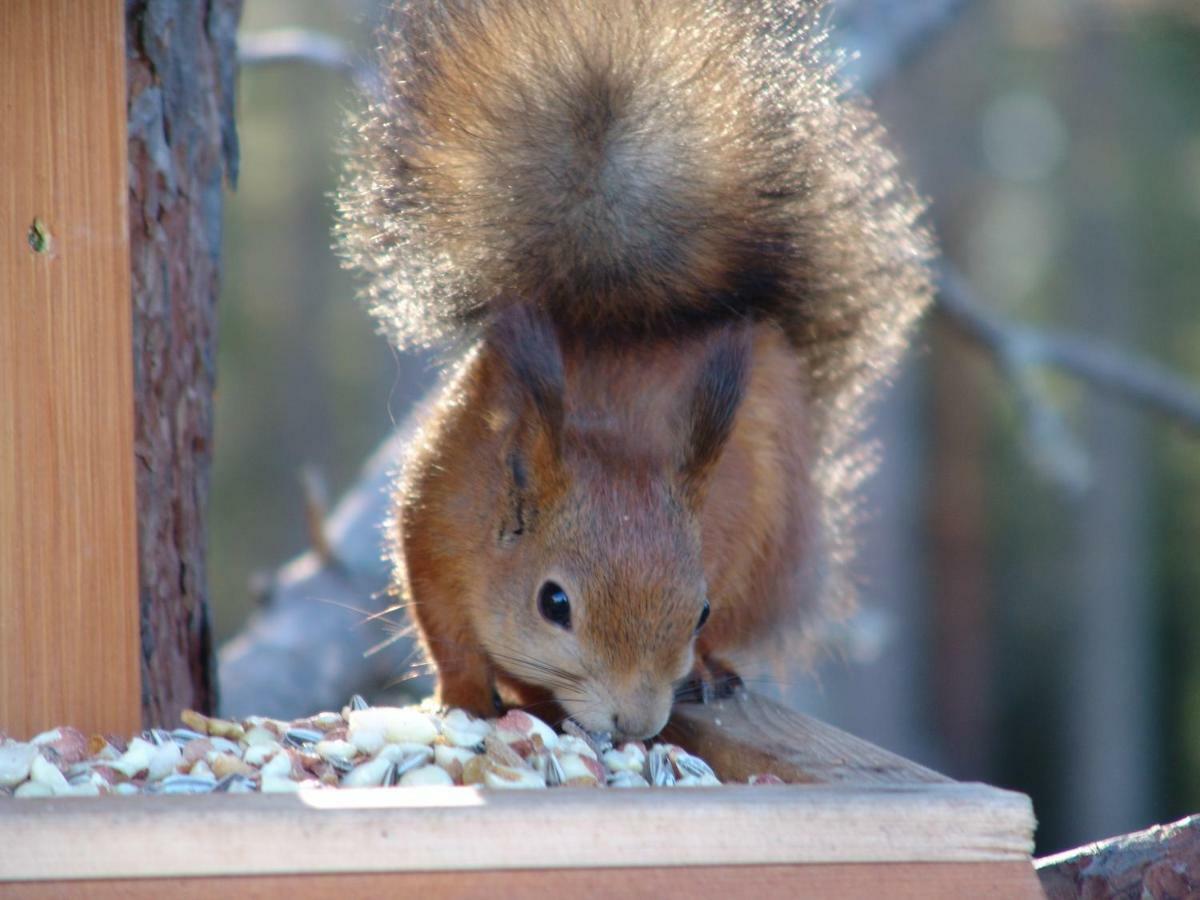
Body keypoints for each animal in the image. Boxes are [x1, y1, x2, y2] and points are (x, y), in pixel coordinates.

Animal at [340, 0, 936, 739]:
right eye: (554, 603)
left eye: (699, 609)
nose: (636, 723)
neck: (612, 439)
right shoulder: (434, 526)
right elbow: (446, 635)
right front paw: (465, 697)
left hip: (776, 539)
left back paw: (709, 673)